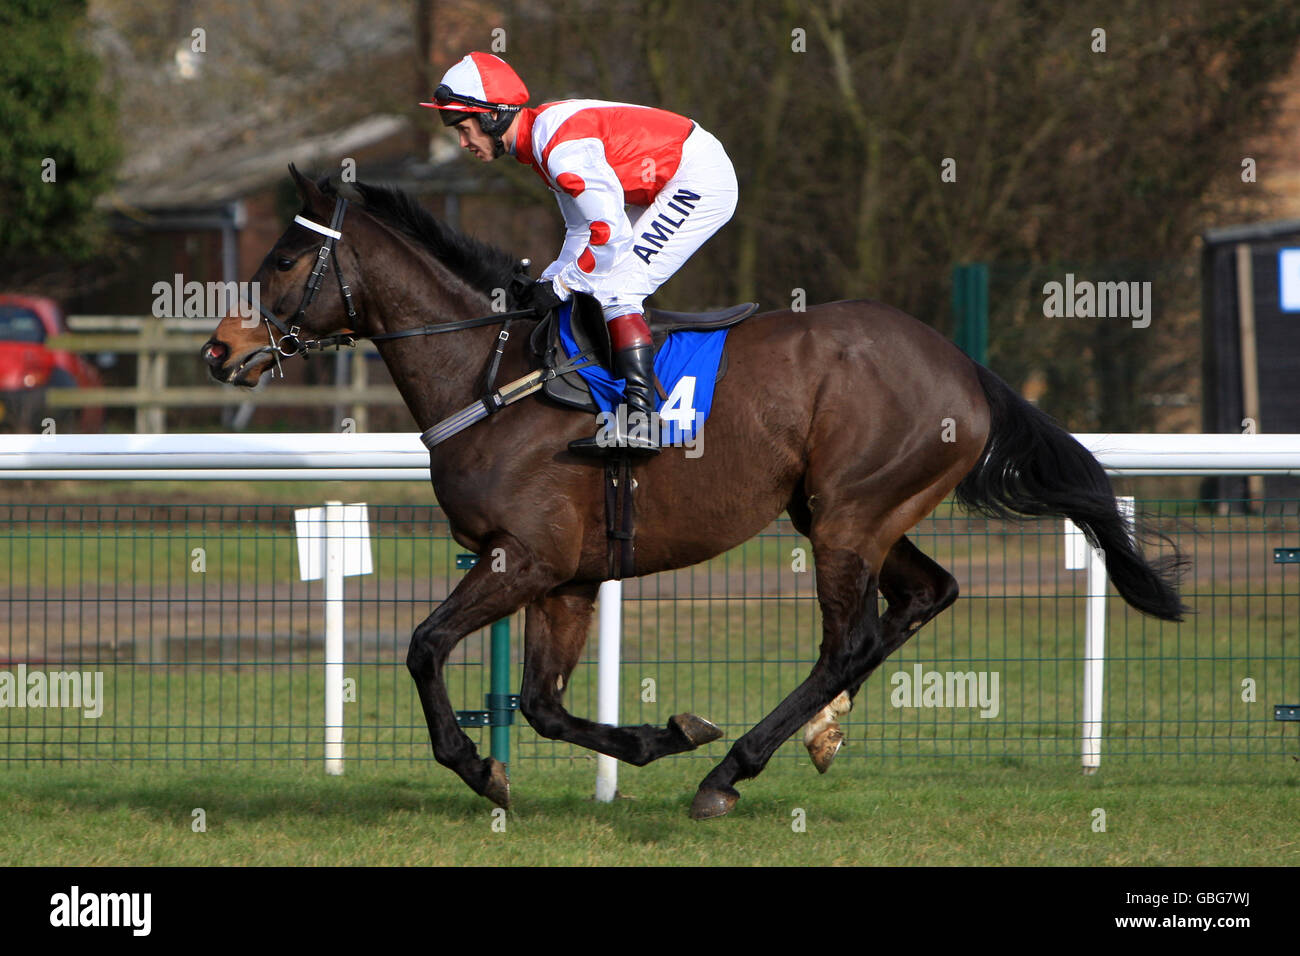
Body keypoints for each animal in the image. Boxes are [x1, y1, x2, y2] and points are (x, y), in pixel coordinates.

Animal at [197, 167, 1185, 816]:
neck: (494, 371)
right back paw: (817, 736)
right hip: (845, 510)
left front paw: (480, 768)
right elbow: (543, 705)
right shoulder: (565, 576)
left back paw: (731, 774)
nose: (218, 348)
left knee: (849, 640)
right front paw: (656, 737)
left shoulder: (526, 556)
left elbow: (424, 647)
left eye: (284, 257)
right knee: (922, 598)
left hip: (848, 515)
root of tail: (964, 367)